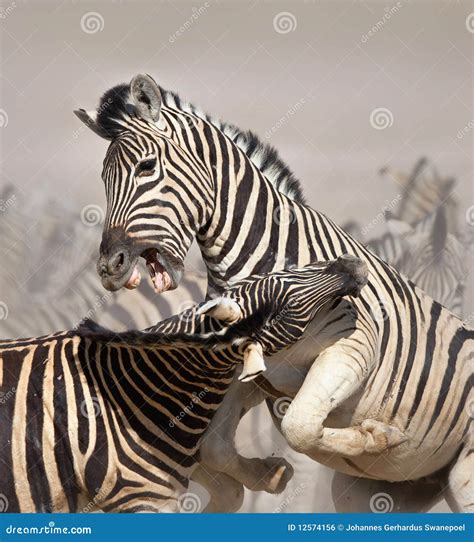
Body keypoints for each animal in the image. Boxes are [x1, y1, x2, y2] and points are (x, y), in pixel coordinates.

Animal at [75, 76, 474, 516]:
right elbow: (214, 446)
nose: (110, 266)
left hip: (463, 476)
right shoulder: (241, 369)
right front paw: (268, 474)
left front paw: (377, 437)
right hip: (372, 492)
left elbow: (297, 426)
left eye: (147, 167)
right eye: (104, 179)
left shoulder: (353, 345)